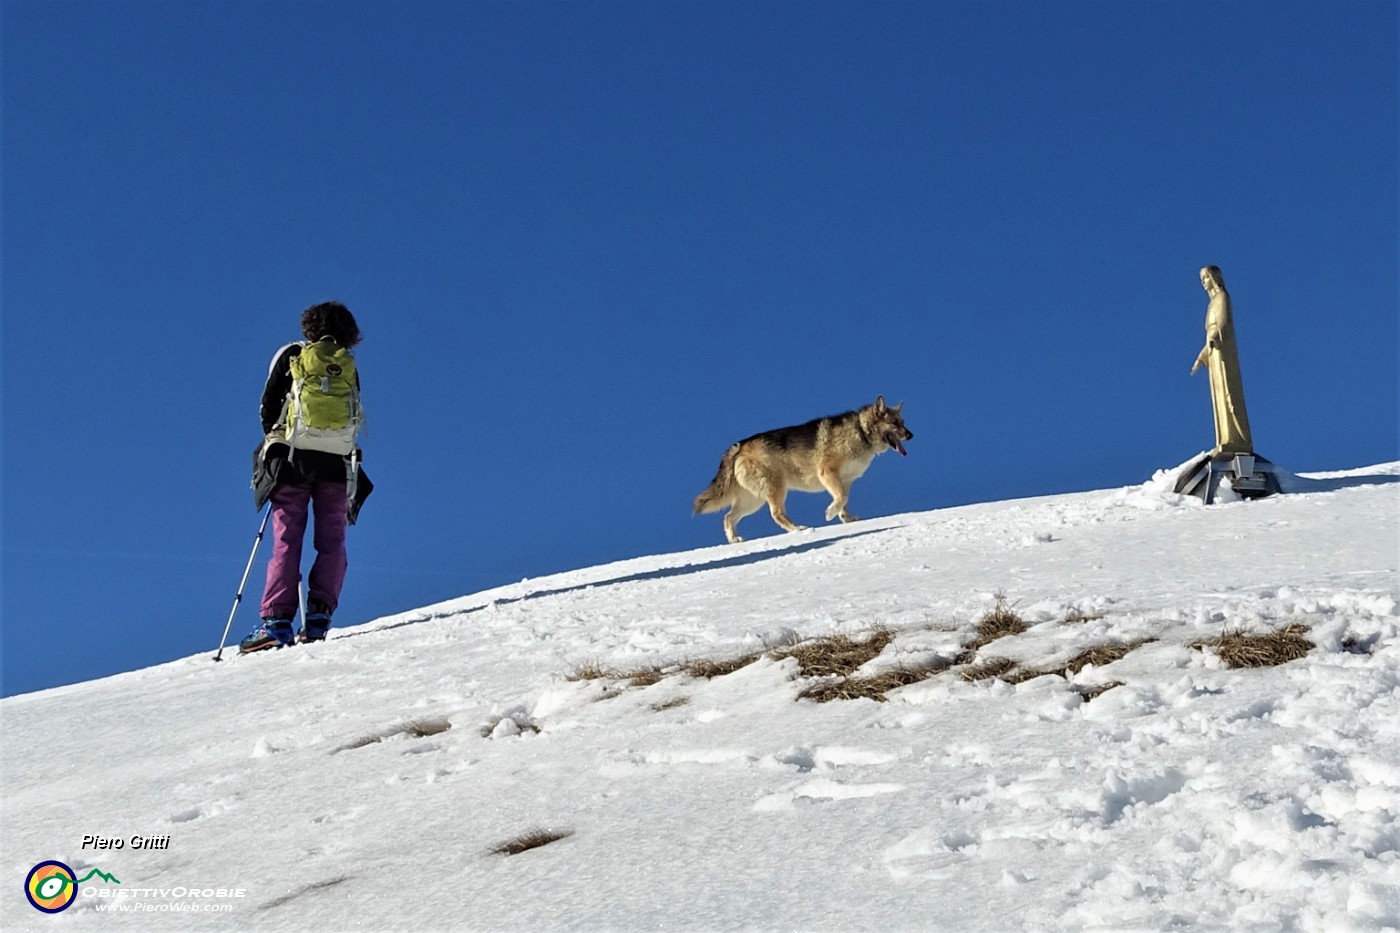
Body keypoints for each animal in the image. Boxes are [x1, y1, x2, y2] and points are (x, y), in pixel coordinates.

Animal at [694, 395, 912, 540]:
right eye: (895, 423)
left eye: (903, 422)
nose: (911, 435)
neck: (861, 431)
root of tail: (740, 445)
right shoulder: (827, 473)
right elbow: (841, 499)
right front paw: (829, 514)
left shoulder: (845, 481)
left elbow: (844, 502)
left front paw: (847, 520)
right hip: (776, 490)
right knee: (776, 514)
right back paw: (799, 529)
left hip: (753, 501)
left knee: (728, 517)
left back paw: (735, 540)